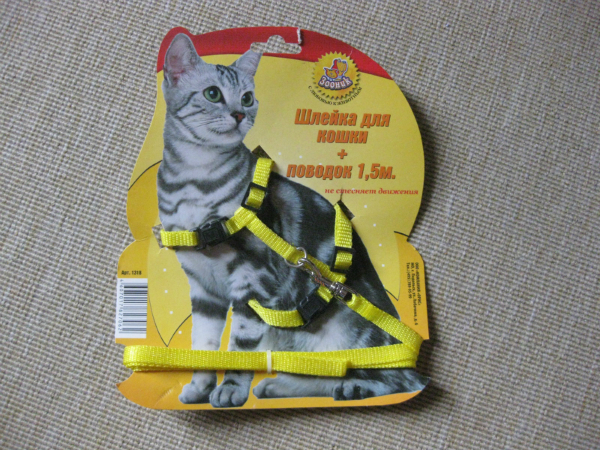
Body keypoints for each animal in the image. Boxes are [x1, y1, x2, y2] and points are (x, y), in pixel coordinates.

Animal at [157, 33, 428, 408]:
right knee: (317, 370)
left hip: (352, 331)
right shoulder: (203, 288)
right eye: (212, 93)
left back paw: (356, 388)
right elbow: (205, 346)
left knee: (388, 375)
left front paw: (230, 387)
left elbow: (241, 346)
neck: (192, 180)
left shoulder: (254, 278)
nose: (239, 114)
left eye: (247, 97)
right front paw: (200, 385)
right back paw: (281, 386)